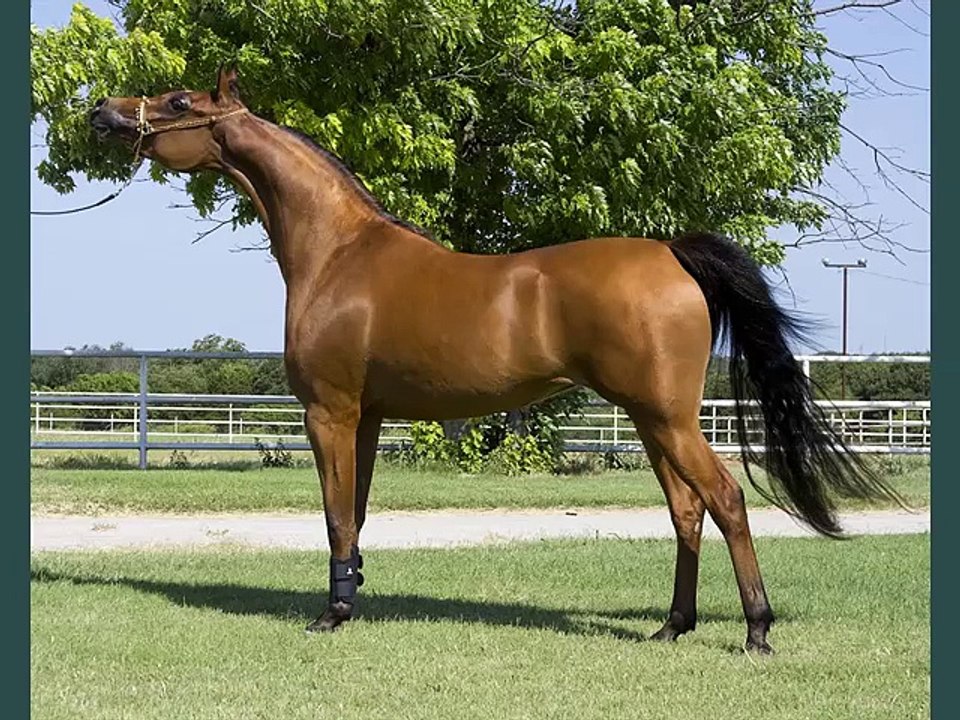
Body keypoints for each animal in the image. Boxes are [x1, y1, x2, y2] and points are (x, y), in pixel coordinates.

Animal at [89, 66, 900, 653]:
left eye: (178, 99)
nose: (102, 111)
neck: (339, 253)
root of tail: (672, 253)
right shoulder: (368, 418)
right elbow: (356, 514)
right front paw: (351, 599)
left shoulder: (331, 412)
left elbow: (335, 515)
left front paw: (331, 615)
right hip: (650, 420)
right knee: (686, 511)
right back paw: (671, 627)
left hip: (668, 419)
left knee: (726, 500)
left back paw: (757, 630)